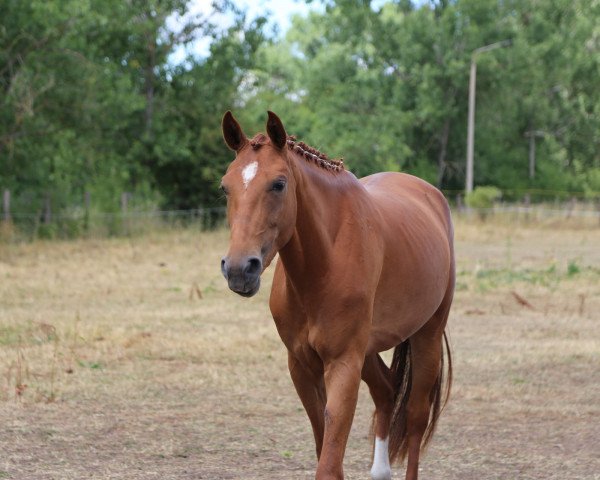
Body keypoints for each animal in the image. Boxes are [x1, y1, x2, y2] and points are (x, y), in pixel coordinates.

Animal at [220, 111, 454, 480]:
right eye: (224, 187)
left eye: (279, 184)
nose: (240, 269)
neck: (323, 266)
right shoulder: (302, 365)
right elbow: (325, 451)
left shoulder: (343, 364)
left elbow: (329, 464)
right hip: (368, 350)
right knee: (386, 391)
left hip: (426, 335)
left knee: (416, 417)